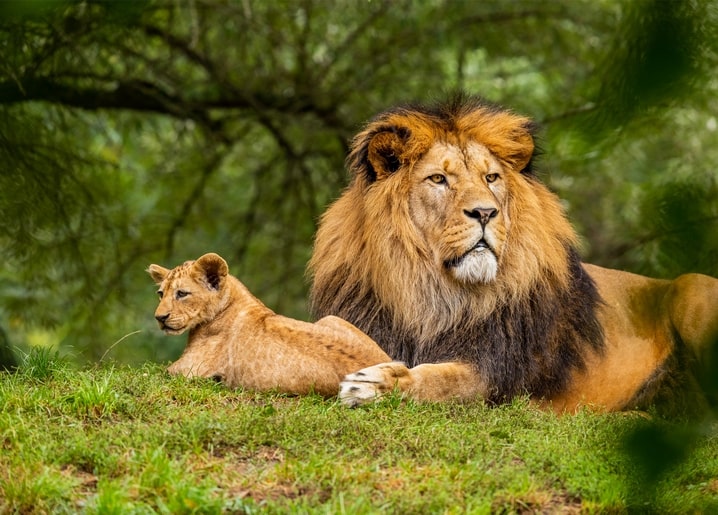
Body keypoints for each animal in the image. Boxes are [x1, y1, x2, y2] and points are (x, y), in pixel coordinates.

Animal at [148, 252, 391, 396]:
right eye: (160, 294)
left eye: (182, 294)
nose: (160, 317)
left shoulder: (187, 370)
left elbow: (154, 373)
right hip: (330, 318)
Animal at [308, 95, 718, 414]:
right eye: (439, 179)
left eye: (491, 178)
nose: (485, 213)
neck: (433, 293)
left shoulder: (495, 372)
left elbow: (439, 380)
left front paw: (376, 384)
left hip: (691, 287)